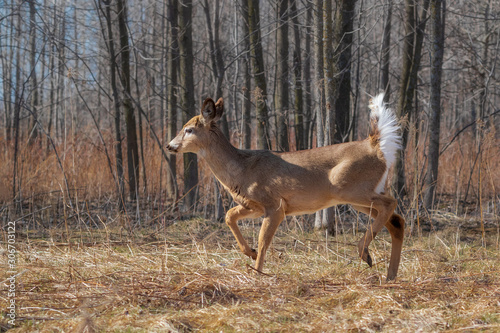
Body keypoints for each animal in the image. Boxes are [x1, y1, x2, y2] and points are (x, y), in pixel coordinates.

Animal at [166, 93, 404, 280]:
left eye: (188, 129)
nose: (169, 145)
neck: (242, 169)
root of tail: (375, 146)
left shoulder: (275, 205)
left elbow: (263, 240)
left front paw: (257, 272)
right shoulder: (253, 205)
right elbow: (229, 215)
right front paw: (250, 253)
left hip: (351, 189)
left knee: (391, 203)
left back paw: (365, 253)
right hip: (359, 196)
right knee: (396, 221)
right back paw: (390, 275)